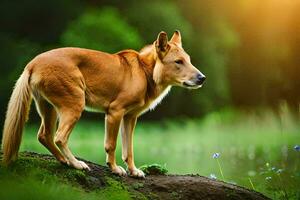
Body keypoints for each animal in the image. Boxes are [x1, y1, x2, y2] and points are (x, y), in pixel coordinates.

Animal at [1, 30, 205, 177]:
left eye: (189, 60)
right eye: (178, 62)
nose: (202, 78)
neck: (145, 71)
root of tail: (32, 63)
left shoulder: (130, 117)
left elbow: (129, 149)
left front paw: (133, 171)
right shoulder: (115, 113)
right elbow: (111, 145)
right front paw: (114, 169)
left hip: (48, 108)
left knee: (44, 135)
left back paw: (63, 161)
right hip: (74, 105)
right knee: (59, 137)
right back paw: (76, 164)